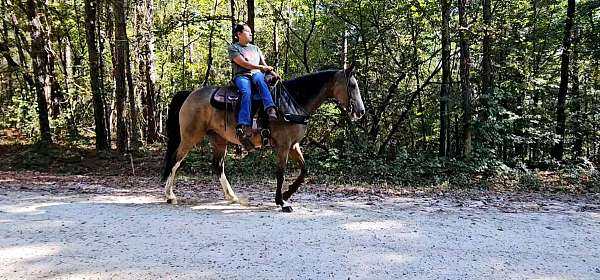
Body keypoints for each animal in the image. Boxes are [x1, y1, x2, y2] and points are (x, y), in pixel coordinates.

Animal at [161, 64, 366, 212]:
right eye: (352, 85)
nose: (361, 112)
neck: (292, 102)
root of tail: (190, 94)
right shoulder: (283, 146)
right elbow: (281, 173)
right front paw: (281, 202)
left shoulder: (293, 145)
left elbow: (304, 171)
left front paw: (287, 194)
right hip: (190, 137)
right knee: (176, 161)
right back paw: (170, 195)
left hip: (219, 140)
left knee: (217, 166)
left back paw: (231, 196)